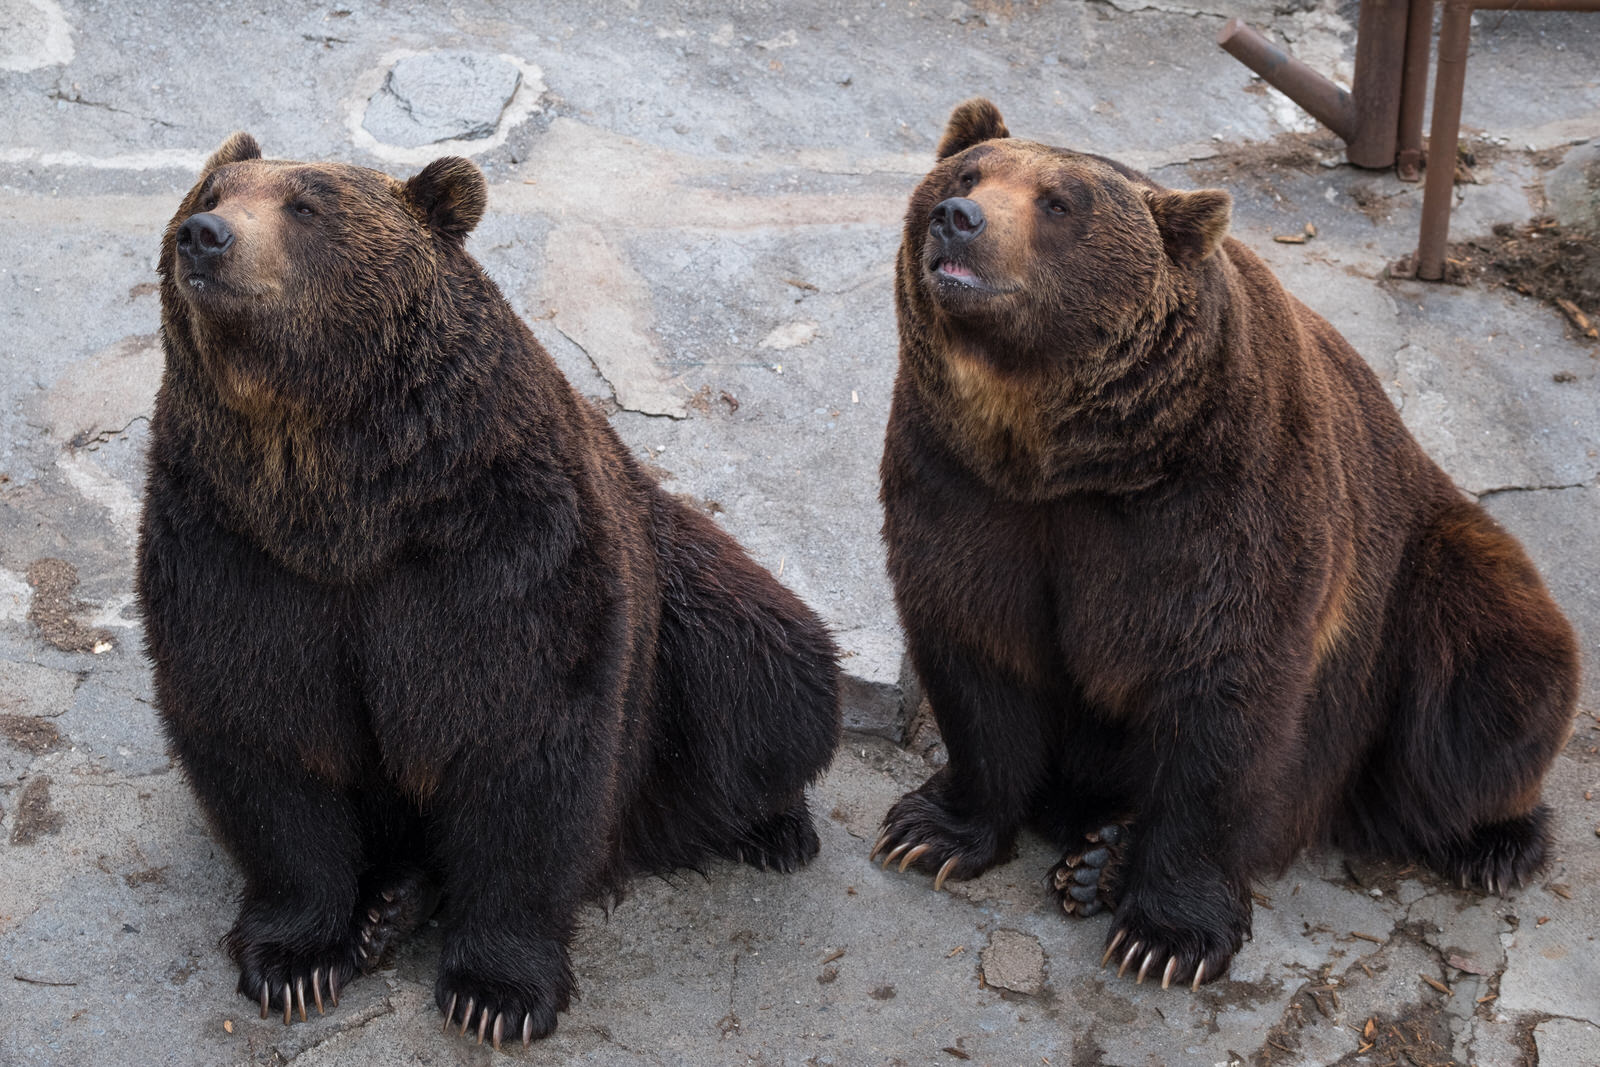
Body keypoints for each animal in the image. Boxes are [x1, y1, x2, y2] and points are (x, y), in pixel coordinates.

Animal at [136, 131, 844, 1043]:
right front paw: (296, 960)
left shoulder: (502, 546)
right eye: (210, 192)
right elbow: (265, 732)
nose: (206, 237)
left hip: (682, 605)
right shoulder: (234, 546)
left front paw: (494, 993)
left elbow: (522, 744)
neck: (339, 494)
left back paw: (775, 823)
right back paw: (389, 905)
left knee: (768, 675)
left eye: (305, 204)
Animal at [870, 99, 1580, 991]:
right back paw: (1097, 856)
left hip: (1423, 581)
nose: (957, 219)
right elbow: (977, 647)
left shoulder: (1220, 504)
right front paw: (929, 830)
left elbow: (1222, 690)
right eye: (965, 173)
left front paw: (1167, 934)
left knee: (1486, 684)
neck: (1059, 454)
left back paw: (1493, 841)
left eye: (1060, 203)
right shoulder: (961, 484)